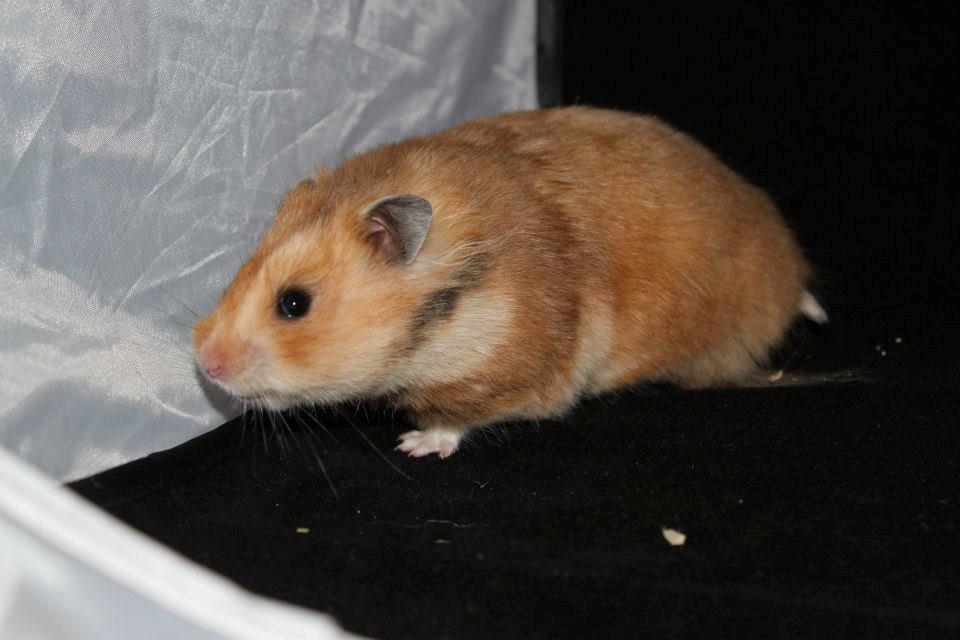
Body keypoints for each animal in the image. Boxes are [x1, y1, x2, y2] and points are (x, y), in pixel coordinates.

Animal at [193, 106, 825, 458]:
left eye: (294, 303)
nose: (204, 363)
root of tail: (791, 267)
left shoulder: (524, 373)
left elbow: (462, 417)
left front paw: (415, 445)